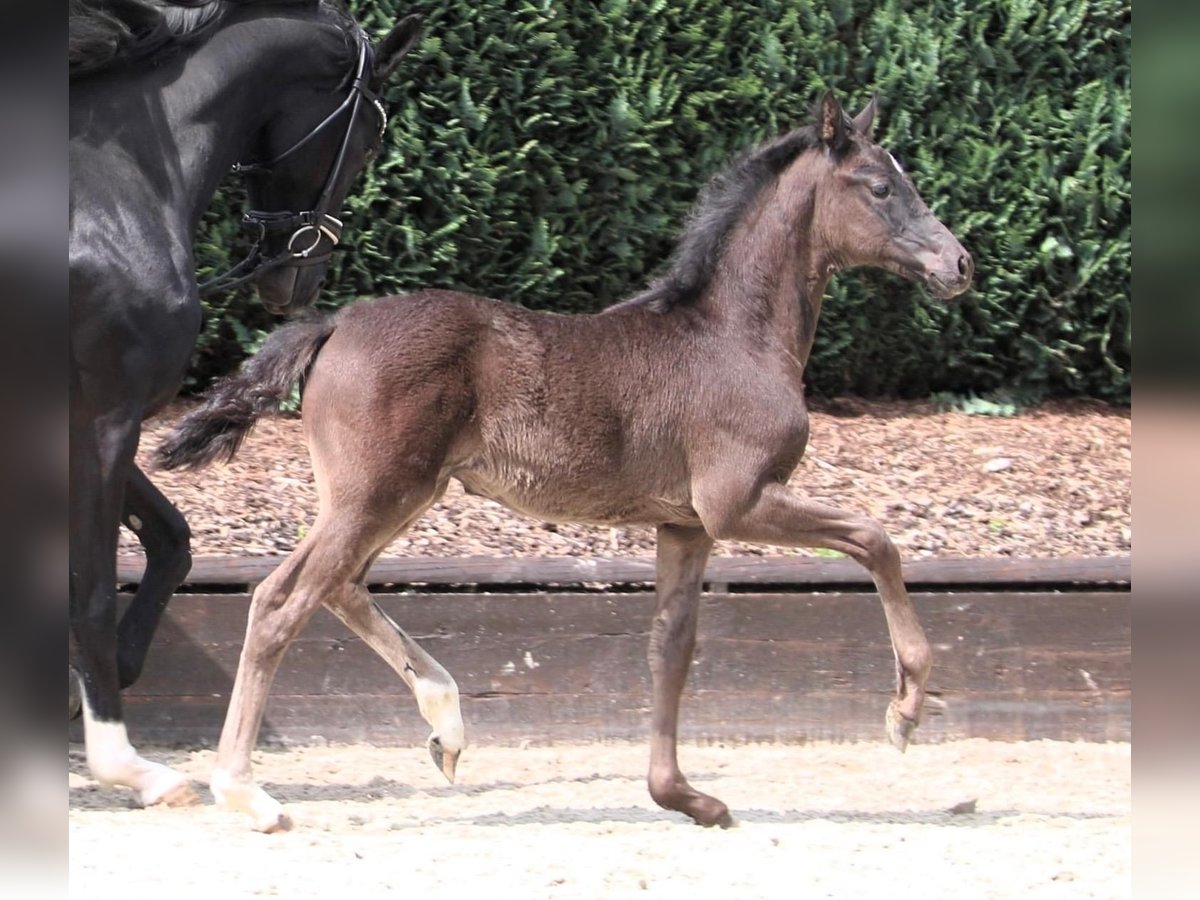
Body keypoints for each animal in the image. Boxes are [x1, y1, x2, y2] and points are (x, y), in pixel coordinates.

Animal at [68, 0, 422, 801]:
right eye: (371, 134)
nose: (299, 279)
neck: (122, 187)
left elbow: (172, 541)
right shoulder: (104, 420)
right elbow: (95, 587)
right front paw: (125, 762)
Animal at [159, 91, 974, 830]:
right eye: (880, 186)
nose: (960, 262)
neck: (732, 337)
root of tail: (333, 323)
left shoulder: (686, 525)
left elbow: (671, 647)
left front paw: (686, 798)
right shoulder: (738, 501)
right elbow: (875, 539)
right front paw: (906, 708)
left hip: (394, 496)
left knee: (336, 587)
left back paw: (445, 726)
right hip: (376, 496)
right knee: (281, 602)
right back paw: (244, 790)